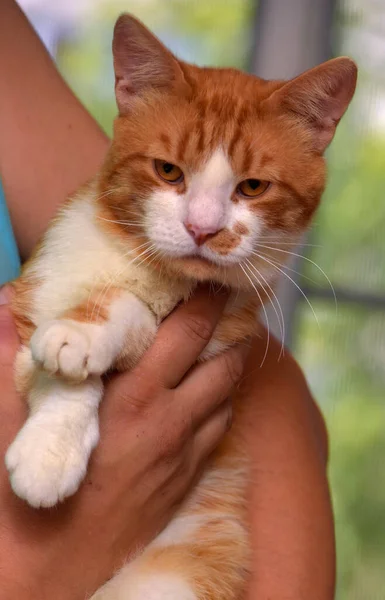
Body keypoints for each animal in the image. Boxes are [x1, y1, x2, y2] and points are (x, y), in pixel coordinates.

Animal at [3, 14, 356, 600]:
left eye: (252, 186)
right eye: (168, 171)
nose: (202, 228)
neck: (157, 275)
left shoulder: (216, 334)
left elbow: (132, 316)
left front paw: (86, 340)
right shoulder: (34, 300)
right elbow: (58, 352)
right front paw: (49, 450)